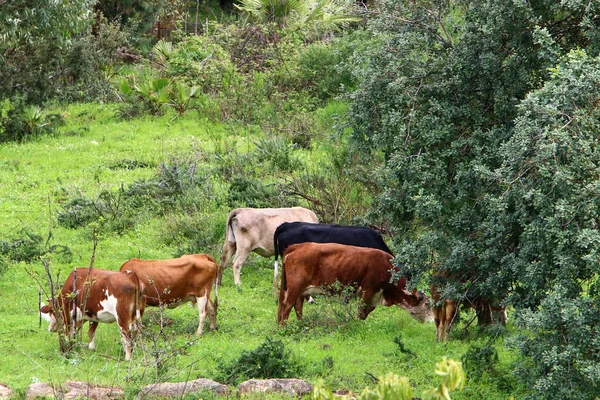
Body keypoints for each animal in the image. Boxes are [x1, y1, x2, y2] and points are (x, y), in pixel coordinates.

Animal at [274, 244, 434, 324]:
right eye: (427, 304)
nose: (434, 320)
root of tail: (299, 245)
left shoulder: (374, 296)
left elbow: (366, 312)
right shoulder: (368, 290)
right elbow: (360, 312)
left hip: (300, 289)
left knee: (297, 306)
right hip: (295, 286)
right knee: (287, 305)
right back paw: (283, 327)